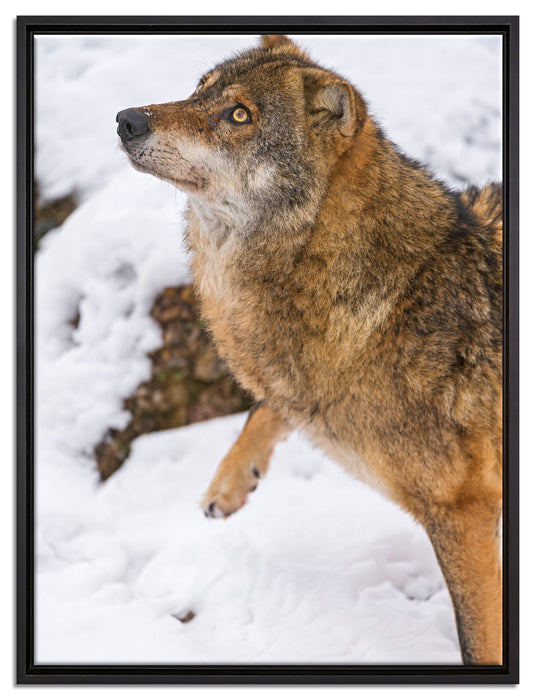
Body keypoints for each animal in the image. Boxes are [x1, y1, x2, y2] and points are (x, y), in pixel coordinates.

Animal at [117, 34, 503, 665]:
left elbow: (478, 641)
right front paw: (230, 482)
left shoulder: (464, 512)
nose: (127, 119)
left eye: (239, 116)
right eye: (199, 89)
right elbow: (267, 405)